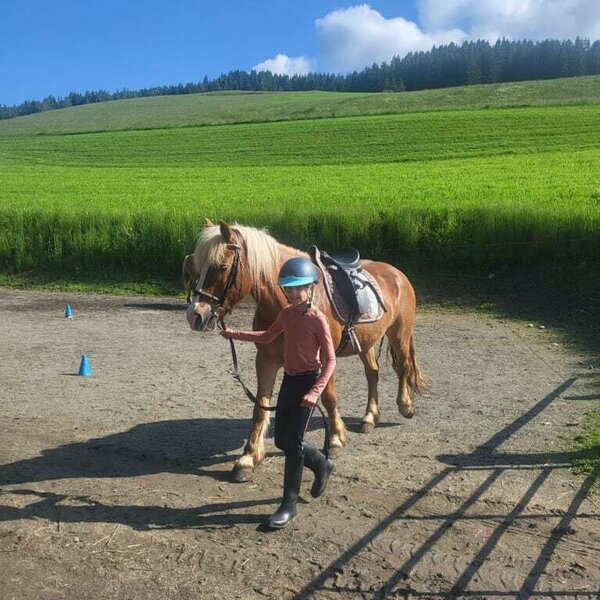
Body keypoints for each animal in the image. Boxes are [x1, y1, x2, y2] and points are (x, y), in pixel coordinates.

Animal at [185, 220, 424, 482]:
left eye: (222, 266)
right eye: (196, 267)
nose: (195, 315)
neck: (288, 303)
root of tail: (397, 273)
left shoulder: (323, 357)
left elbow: (329, 398)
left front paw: (336, 438)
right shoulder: (266, 359)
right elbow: (260, 406)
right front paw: (248, 458)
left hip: (399, 333)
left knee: (404, 366)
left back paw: (405, 406)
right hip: (366, 342)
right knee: (373, 372)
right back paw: (370, 417)